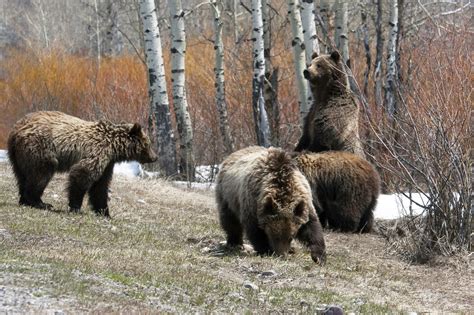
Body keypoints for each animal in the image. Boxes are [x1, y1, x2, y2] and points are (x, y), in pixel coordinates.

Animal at [6, 111, 157, 217]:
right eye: (148, 144)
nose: (155, 157)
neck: (114, 148)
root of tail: (16, 130)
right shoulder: (97, 153)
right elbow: (81, 176)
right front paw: (75, 207)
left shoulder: (107, 164)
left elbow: (100, 186)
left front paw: (105, 213)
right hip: (40, 148)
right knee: (42, 172)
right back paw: (40, 202)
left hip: (19, 156)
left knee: (22, 176)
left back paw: (24, 200)